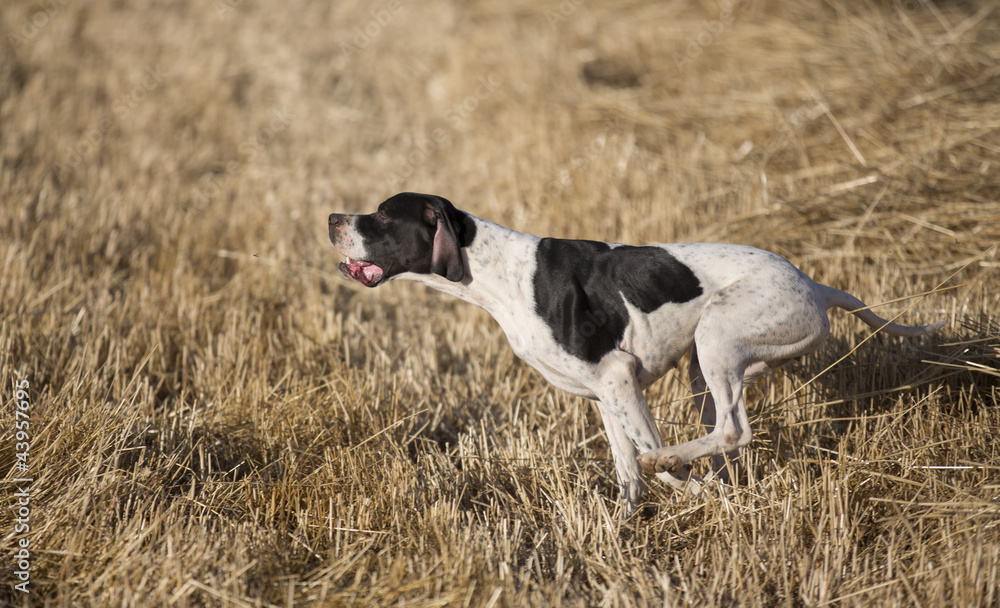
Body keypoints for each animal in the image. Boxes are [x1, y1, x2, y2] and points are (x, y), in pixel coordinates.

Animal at [328, 194, 944, 508]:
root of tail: (814, 286)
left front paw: (682, 483)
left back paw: (686, 468)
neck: (499, 272)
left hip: (717, 339)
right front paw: (629, 524)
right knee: (724, 438)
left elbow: (645, 454)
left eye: (382, 215)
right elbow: (625, 467)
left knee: (732, 431)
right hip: (704, 369)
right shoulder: (603, 395)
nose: (332, 217)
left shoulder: (618, 377)